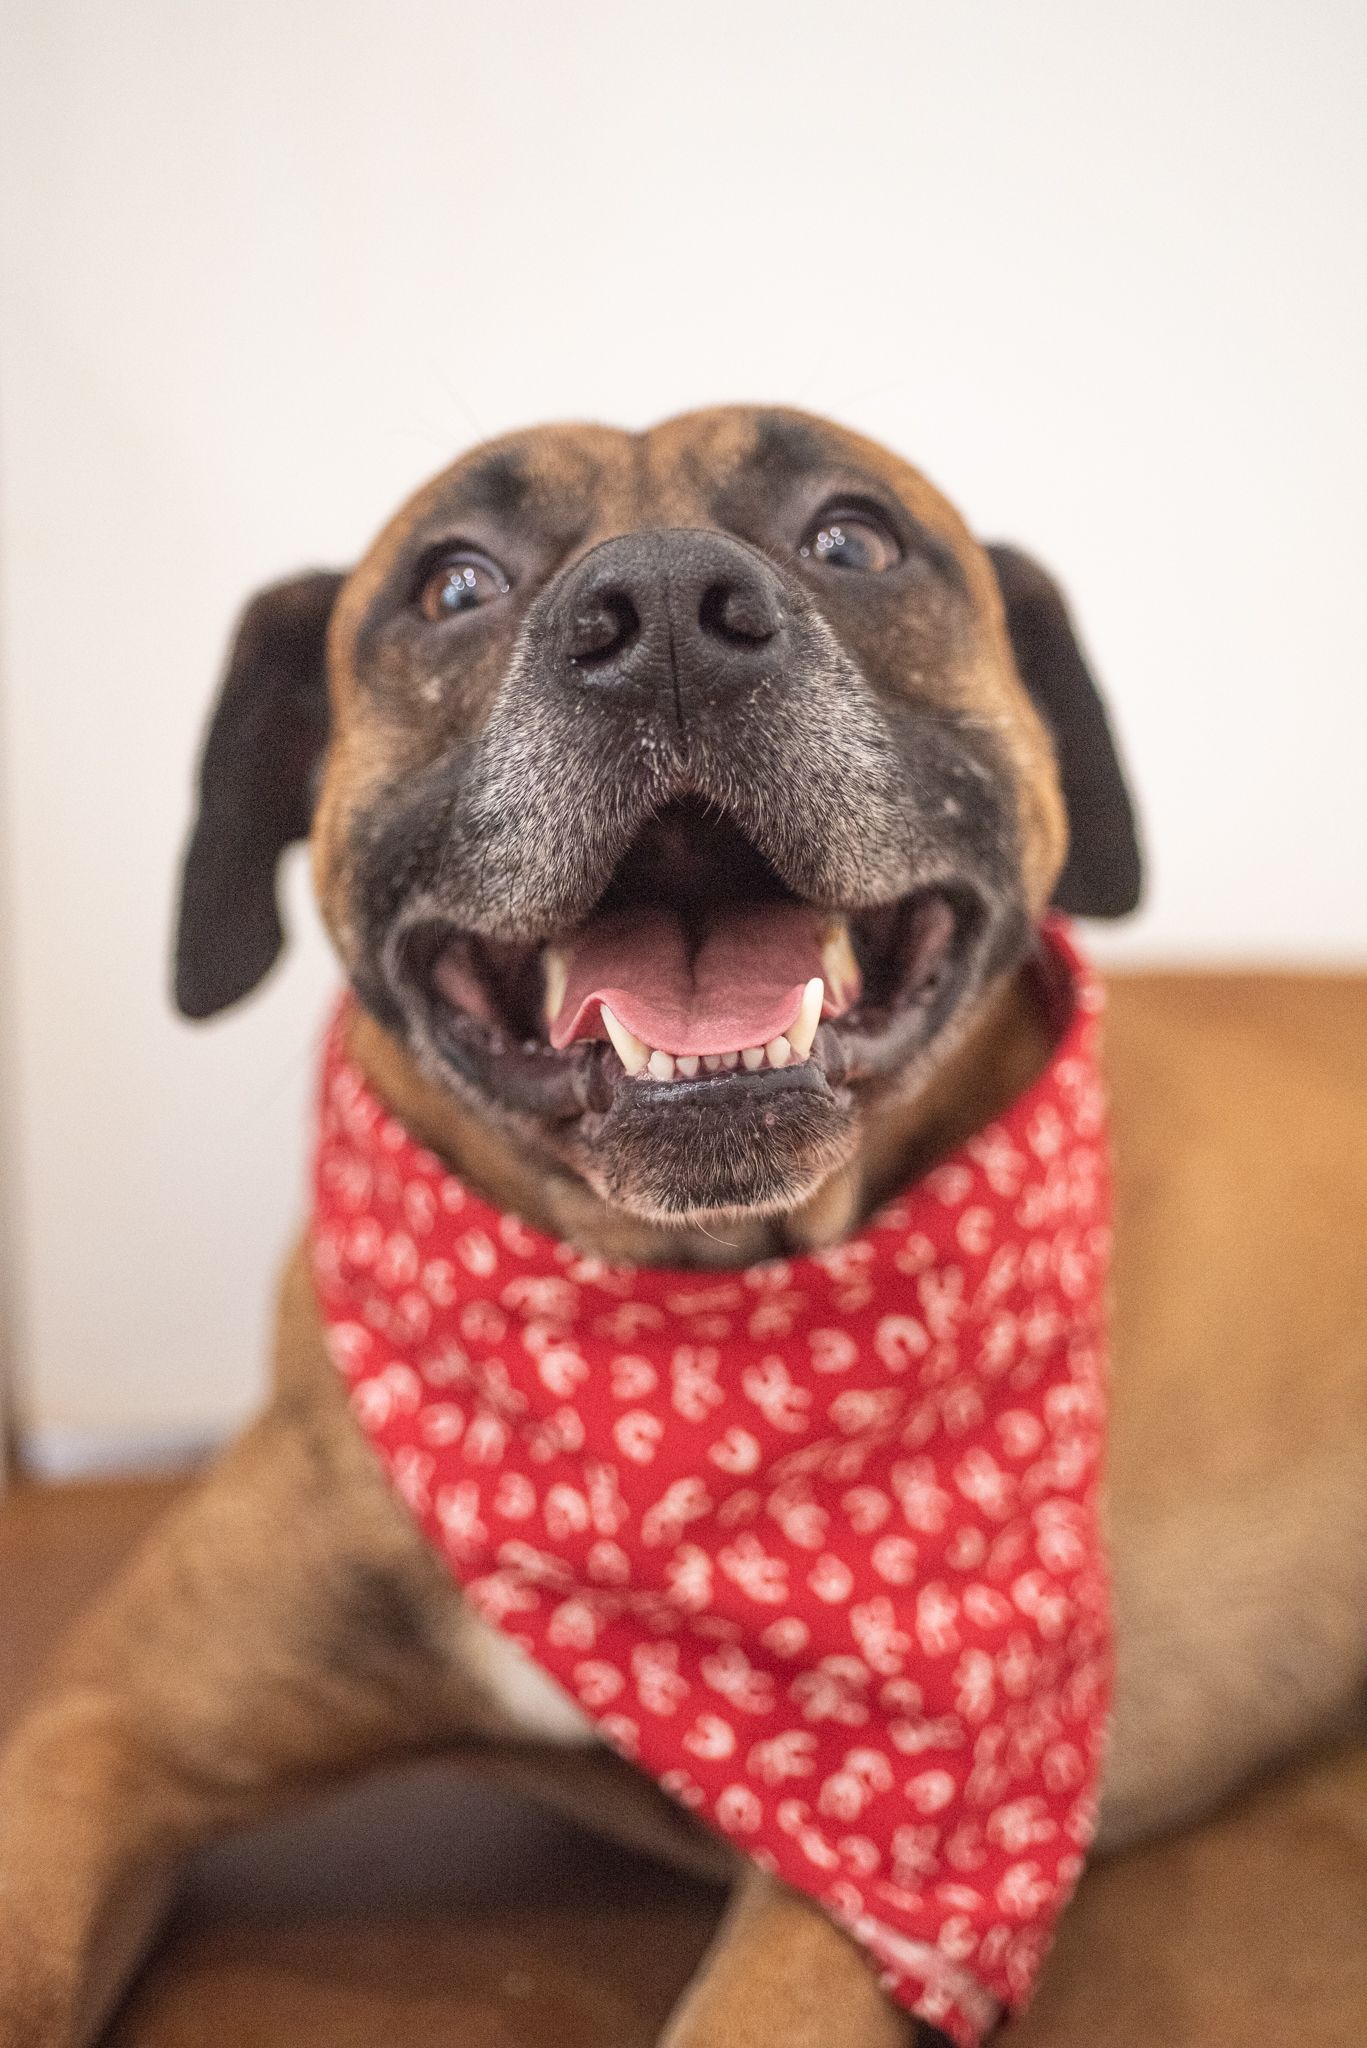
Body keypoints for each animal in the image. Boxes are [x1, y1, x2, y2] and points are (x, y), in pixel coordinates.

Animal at [2, 403, 1367, 2048]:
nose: (658, 612)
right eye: (451, 581)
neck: (665, 1340)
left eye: (852, 536)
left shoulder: (867, 1878)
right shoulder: (94, 1736)